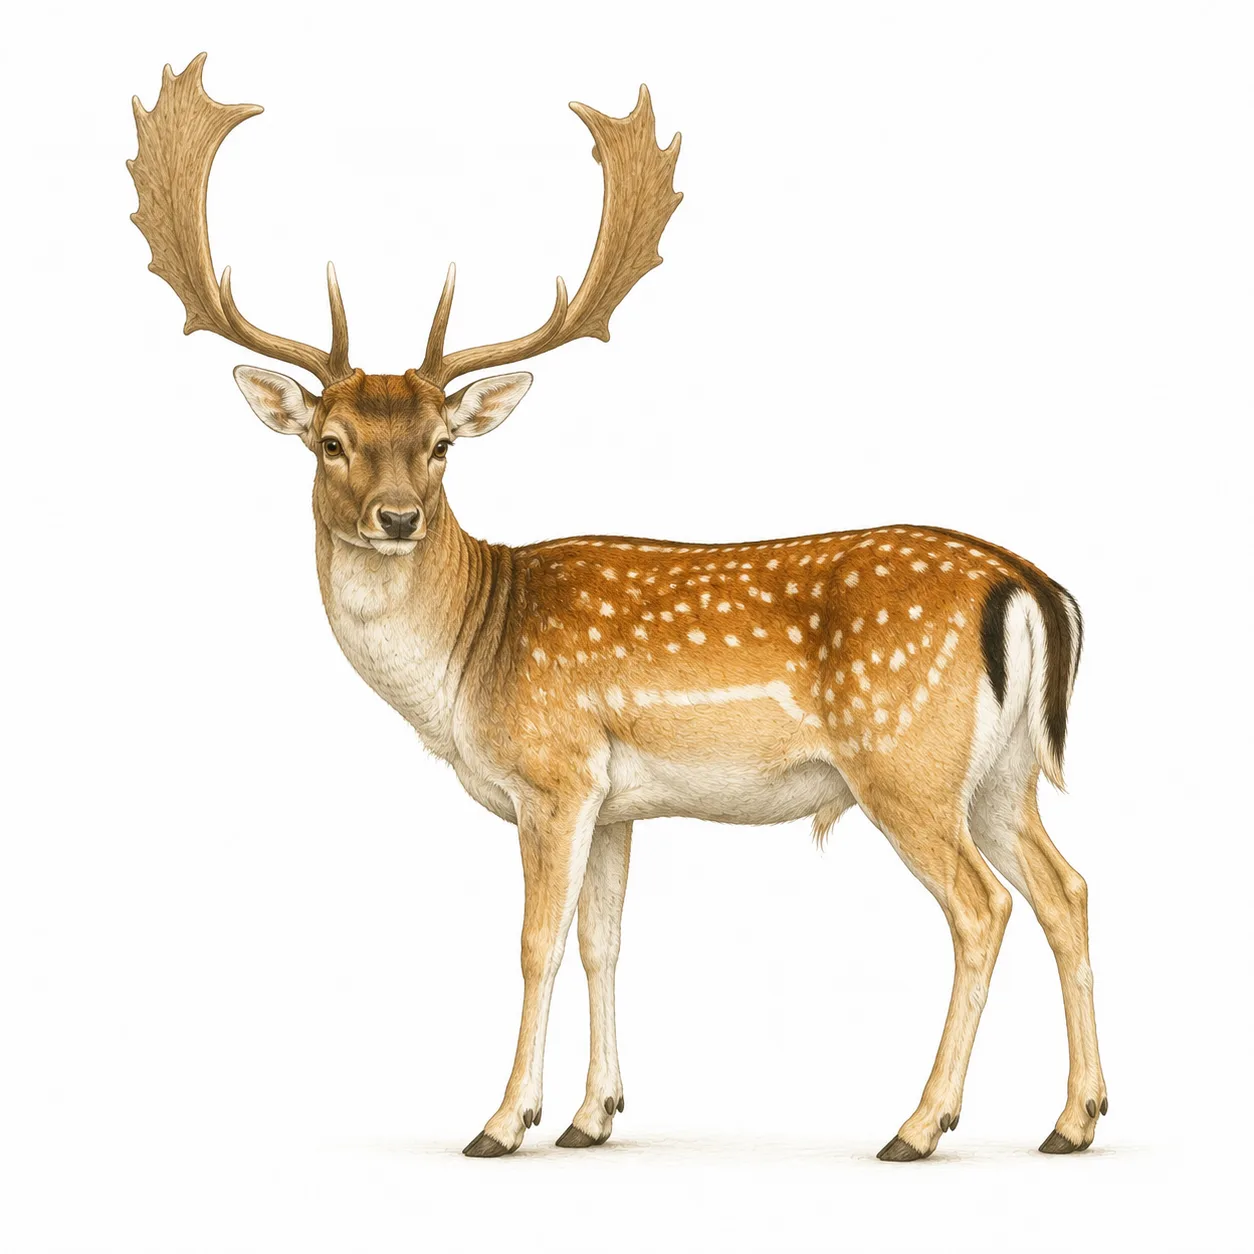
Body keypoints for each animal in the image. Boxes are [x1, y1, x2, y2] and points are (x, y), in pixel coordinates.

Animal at [129, 54, 1106, 1162]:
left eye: (441, 445)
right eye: (331, 441)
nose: (398, 517)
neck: (468, 669)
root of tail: (1029, 586)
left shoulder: (555, 771)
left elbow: (535, 942)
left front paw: (502, 1120)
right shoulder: (617, 800)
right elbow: (605, 941)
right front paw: (592, 1116)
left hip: (905, 758)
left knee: (983, 909)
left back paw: (919, 1124)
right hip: (1002, 775)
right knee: (1068, 888)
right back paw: (1074, 1119)